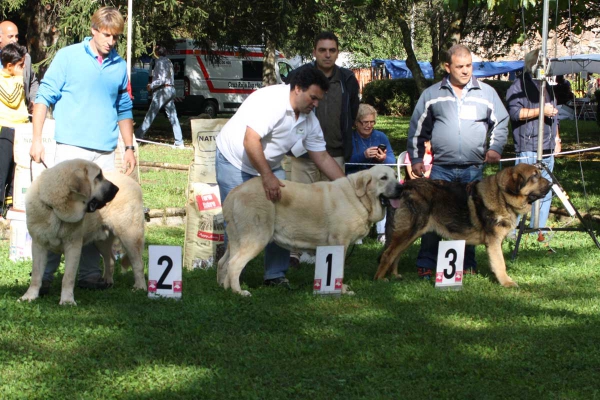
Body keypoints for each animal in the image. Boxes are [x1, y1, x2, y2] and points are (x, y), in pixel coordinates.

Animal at [19, 158, 146, 304]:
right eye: (98, 177)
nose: (116, 189)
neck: (56, 209)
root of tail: (135, 183)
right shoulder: (38, 245)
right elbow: (36, 274)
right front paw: (29, 296)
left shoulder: (73, 246)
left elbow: (68, 277)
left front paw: (67, 301)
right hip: (101, 241)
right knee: (111, 259)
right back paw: (107, 282)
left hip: (129, 236)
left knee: (138, 264)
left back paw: (140, 287)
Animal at [218, 164, 400, 296]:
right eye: (383, 178)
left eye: (396, 176)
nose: (401, 188)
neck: (359, 198)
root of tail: (235, 192)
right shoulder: (339, 243)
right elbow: (338, 269)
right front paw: (341, 290)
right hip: (256, 237)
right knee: (234, 264)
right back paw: (240, 292)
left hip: (236, 240)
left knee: (223, 263)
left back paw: (225, 289)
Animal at [378, 163, 552, 288]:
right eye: (534, 176)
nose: (551, 184)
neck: (502, 196)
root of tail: (403, 187)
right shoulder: (494, 242)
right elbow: (500, 264)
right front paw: (506, 282)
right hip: (409, 232)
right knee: (387, 254)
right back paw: (379, 279)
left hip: (410, 234)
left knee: (395, 254)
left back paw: (394, 275)